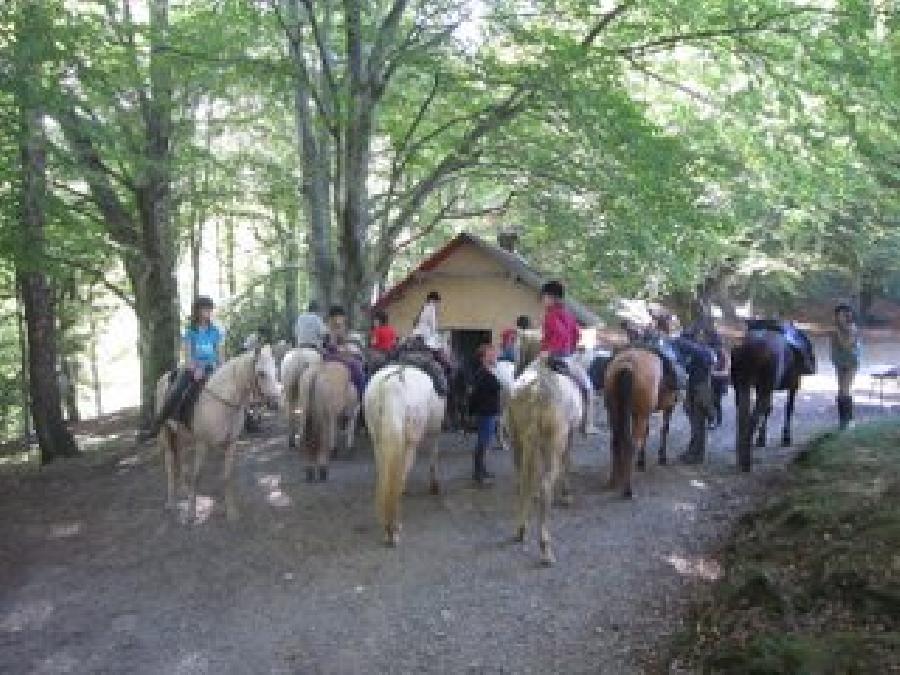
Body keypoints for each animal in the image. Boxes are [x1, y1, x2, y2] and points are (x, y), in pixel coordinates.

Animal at [155, 346, 282, 524]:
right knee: (170, 463)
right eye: (261, 373)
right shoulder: (202, 444)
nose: (276, 403)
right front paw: (191, 514)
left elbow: (226, 477)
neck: (222, 401)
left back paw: (183, 491)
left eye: (275, 370)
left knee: (180, 458)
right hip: (166, 432)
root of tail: (164, 377)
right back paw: (171, 502)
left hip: (181, 434)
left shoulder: (230, 444)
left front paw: (231, 512)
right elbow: (197, 476)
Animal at [364, 364, 444, 548]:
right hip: (410, 441)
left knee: (386, 476)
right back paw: (393, 528)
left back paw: (388, 526)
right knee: (399, 478)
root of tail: (393, 383)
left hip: (379, 440)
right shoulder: (435, 430)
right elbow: (433, 453)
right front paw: (434, 485)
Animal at [502, 332, 580, 564]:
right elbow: (567, 463)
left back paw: (521, 529)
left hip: (519, 443)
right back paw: (545, 547)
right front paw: (566, 494)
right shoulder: (568, 437)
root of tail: (536, 389)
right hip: (553, 444)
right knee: (546, 485)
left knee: (522, 480)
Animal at [732, 324, 816, 472]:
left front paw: (761, 439)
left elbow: (768, 410)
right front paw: (786, 438)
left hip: (743, 386)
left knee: (742, 417)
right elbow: (788, 409)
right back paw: (746, 462)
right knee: (752, 418)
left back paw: (740, 455)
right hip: (763, 387)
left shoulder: (764, 388)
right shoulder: (794, 385)